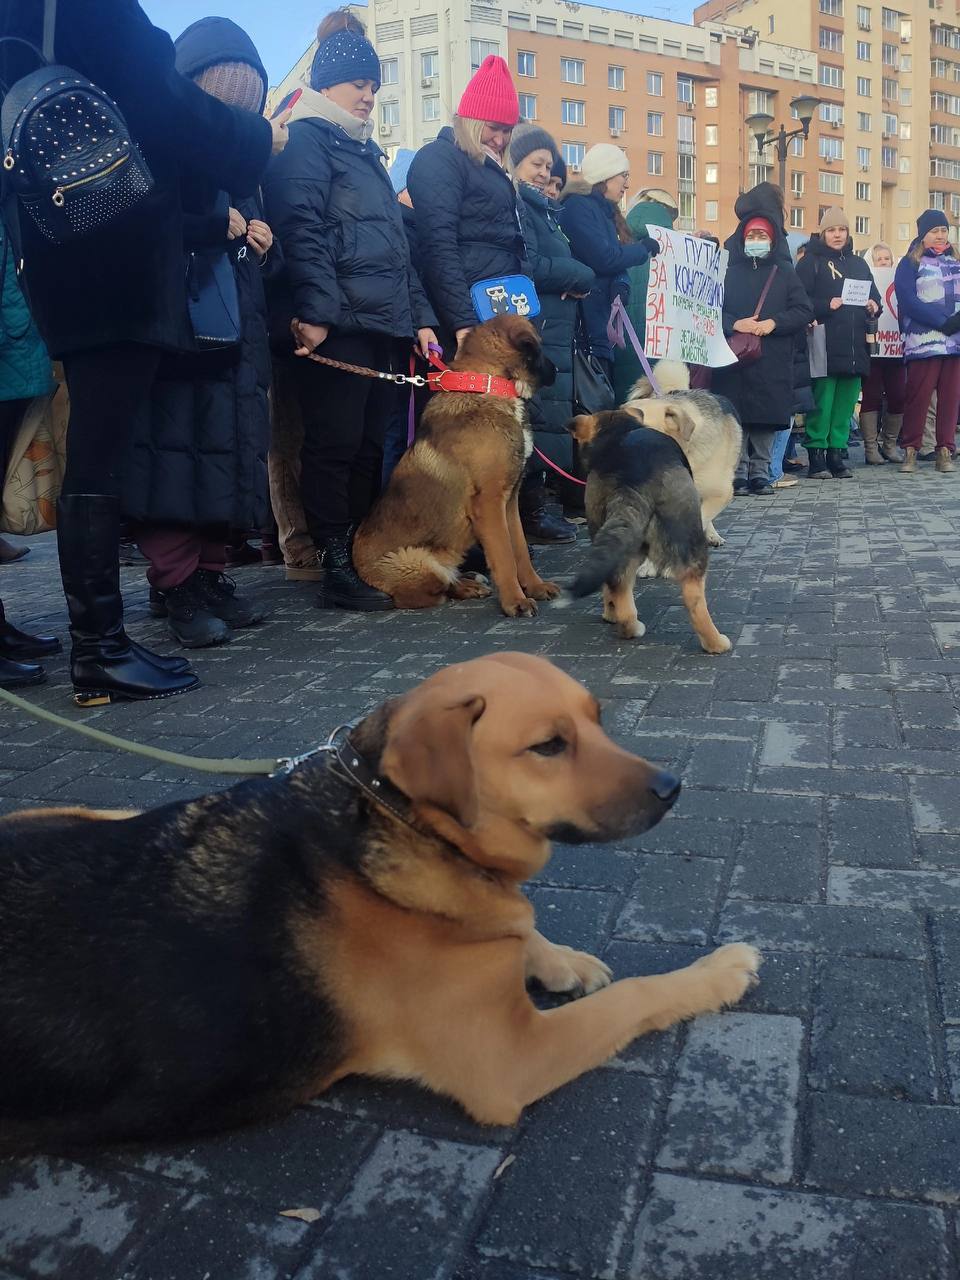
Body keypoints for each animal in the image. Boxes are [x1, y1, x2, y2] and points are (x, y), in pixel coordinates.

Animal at [0, 650, 757, 1152]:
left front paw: (557, 956)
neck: (399, 819)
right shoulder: (511, 1059)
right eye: (548, 746)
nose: (673, 788)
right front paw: (718, 972)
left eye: (598, 720)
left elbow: (522, 922)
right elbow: (635, 994)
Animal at [353, 312, 563, 616]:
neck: (488, 384)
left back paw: (469, 580)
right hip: (415, 561)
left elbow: (520, 549)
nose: (557, 370)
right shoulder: (489, 503)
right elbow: (504, 556)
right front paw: (515, 601)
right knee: (426, 593)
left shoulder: (509, 501)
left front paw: (534, 586)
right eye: (540, 347)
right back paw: (464, 585)